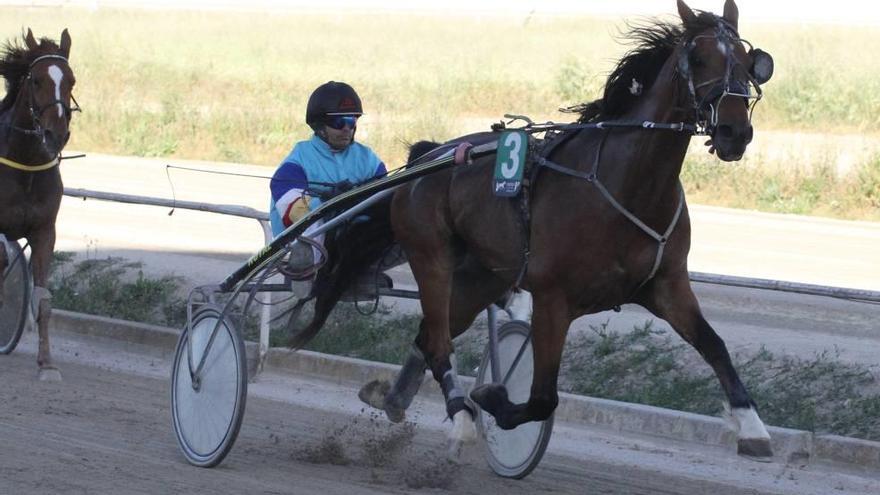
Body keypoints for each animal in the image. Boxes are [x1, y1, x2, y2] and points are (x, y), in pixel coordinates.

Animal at [364, 0, 776, 462]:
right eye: (700, 58)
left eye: (747, 62)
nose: (734, 132)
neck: (626, 185)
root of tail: (429, 155)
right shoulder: (552, 298)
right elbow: (543, 397)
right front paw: (493, 399)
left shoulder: (667, 286)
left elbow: (715, 346)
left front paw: (752, 426)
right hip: (432, 259)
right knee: (438, 342)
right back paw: (462, 420)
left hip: (482, 278)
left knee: (430, 335)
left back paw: (395, 399)